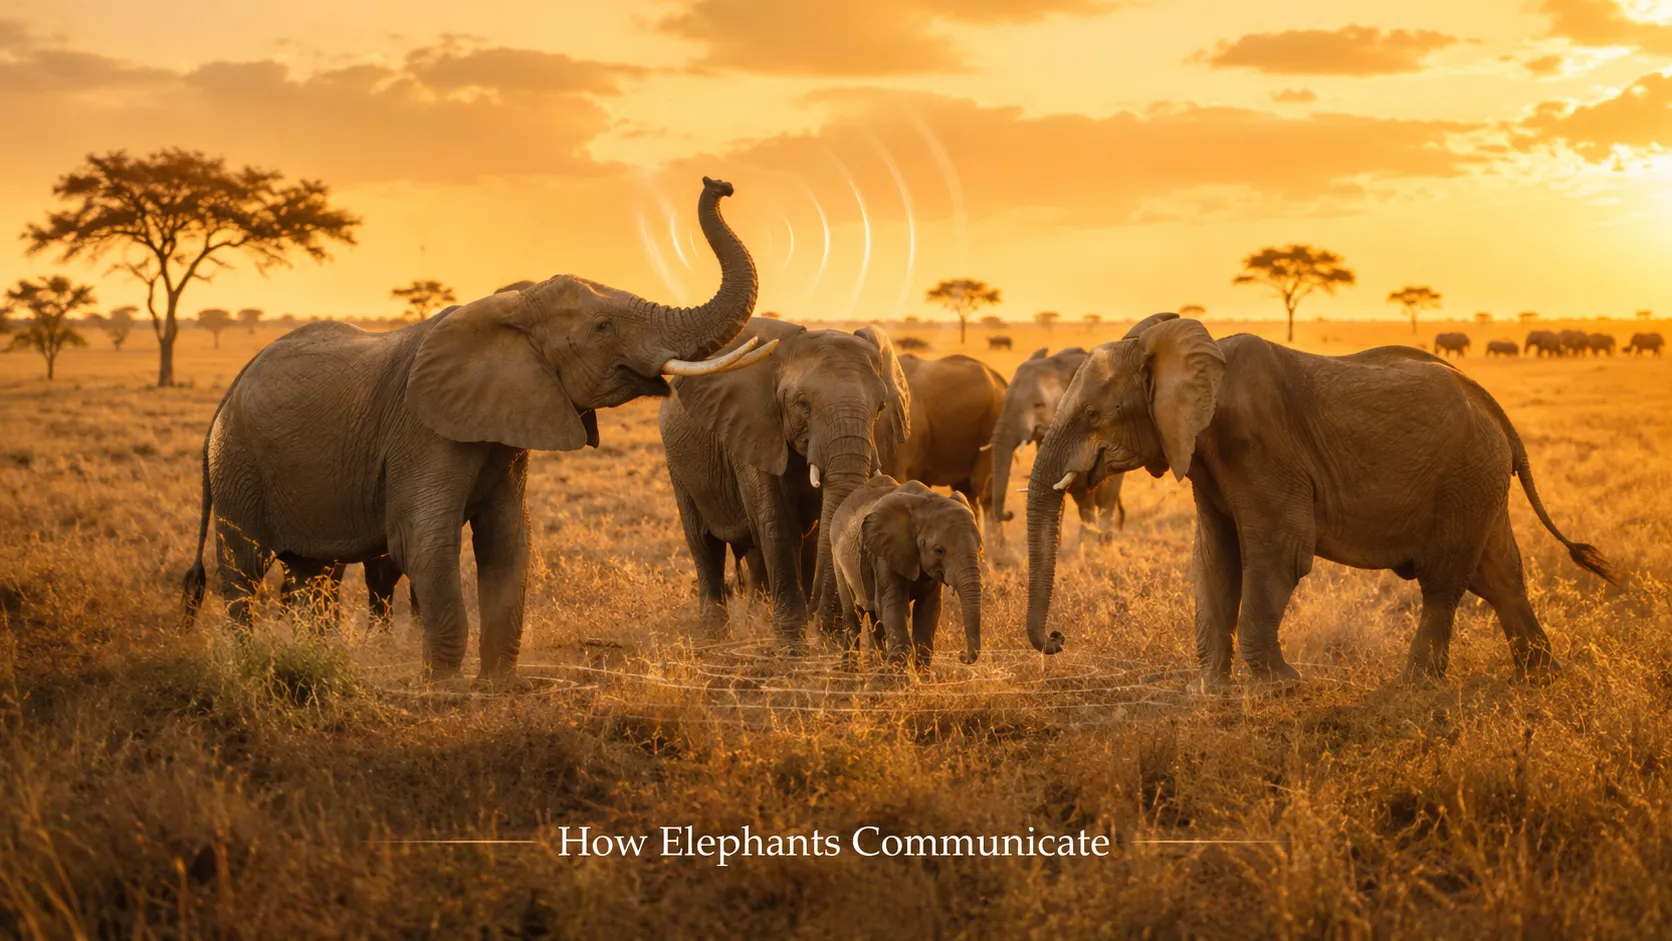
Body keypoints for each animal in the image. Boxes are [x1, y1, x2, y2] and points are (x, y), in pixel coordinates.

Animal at [182, 176, 769, 680]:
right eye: (603, 327)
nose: (719, 184)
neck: (507, 310)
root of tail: (231, 388)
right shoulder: (421, 432)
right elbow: (424, 538)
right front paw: (443, 687)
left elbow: (508, 539)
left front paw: (498, 684)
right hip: (237, 463)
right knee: (243, 569)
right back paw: (245, 664)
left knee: (311, 576)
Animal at [659, 318, 910, 641]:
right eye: (802, 404)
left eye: (880, 407)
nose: (820, 617)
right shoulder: (753, 426)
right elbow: (777, 523)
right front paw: (791, 640)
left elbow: (816, 529)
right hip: (677, 464)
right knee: (704, 544)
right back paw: (715, 636)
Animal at [830, 475, 983, 665]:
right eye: (939, 550)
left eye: (980, 548)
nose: (962, 655)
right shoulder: (884, 552)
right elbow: (894, 602)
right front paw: (898, 669)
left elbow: (928, 608)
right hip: (837, 558)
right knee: (854, 617)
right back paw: (850, 670)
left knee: (875, 617)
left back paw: (877, 668)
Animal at [1023, 315, 1615, 686]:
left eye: (1093, 416)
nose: (1056, 638)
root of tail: (1492, 405)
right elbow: (1214, 558)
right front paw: (1211, 691)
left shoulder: (1259, 445)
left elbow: (1279, 553)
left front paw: (1280, 687)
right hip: (1479, 481)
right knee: (1500, 576)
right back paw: (1540, 680)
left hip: (1466, 475)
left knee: (1445, 583)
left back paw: (1413, 688)